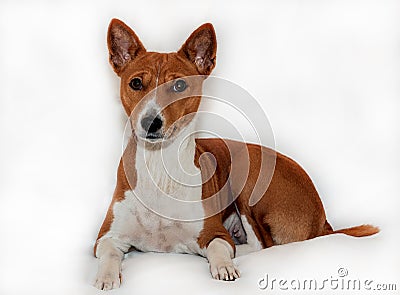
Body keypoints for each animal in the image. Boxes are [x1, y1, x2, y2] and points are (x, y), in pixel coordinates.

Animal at [93, 19, 378, 292]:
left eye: (179, 85)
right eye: (136, 83)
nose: (151, 122)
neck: (159, 169)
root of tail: (323, 219)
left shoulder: (214, 232)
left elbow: (220, 247)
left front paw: (224, 265)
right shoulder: (105, 238)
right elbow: (109, 254)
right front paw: (105, 277)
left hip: (245, 172)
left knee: (263, 243)